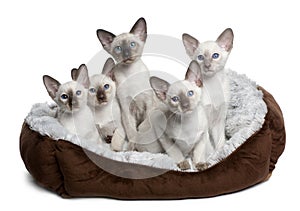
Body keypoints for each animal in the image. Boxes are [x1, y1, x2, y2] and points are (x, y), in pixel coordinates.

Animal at [96, 17, 155, 148]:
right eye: (119, 48)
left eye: (132, 44)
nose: (127, 55)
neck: (131, 74)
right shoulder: (126, 108)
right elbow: (132, 133)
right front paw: (131, 149)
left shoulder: (148, 104)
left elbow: (146, 126)